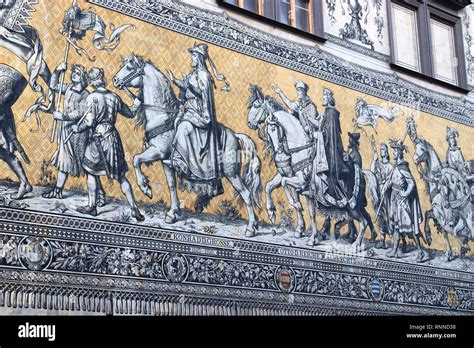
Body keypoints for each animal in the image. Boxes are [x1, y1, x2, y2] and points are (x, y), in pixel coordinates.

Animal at [115, 55, 262, 237]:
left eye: (129, 67)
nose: (115, 80)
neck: (162, 115)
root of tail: (235, 136)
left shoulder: (157, 152)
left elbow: (135, 159)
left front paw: (145, 188)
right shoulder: (165, 161)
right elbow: (171, 185)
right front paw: (173, 213)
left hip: (231, 173)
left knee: (246, 194)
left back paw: (251, 228)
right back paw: (201, 202)